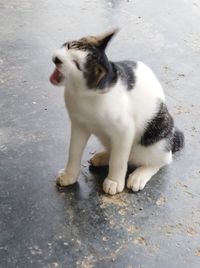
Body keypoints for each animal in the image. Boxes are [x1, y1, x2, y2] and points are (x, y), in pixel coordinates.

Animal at [49, 29, 184, 195]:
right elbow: (74, 151)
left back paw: (139, 175)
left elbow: (119, 160)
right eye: (68, 46)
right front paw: (70, 175)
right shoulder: (79, 125)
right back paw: (103, 156)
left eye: (77, 64)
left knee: (160, 160)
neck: (85, 95)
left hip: (156, 136)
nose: (57, 59)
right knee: (123, 153)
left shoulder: (124, 130)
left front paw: (114, 181)